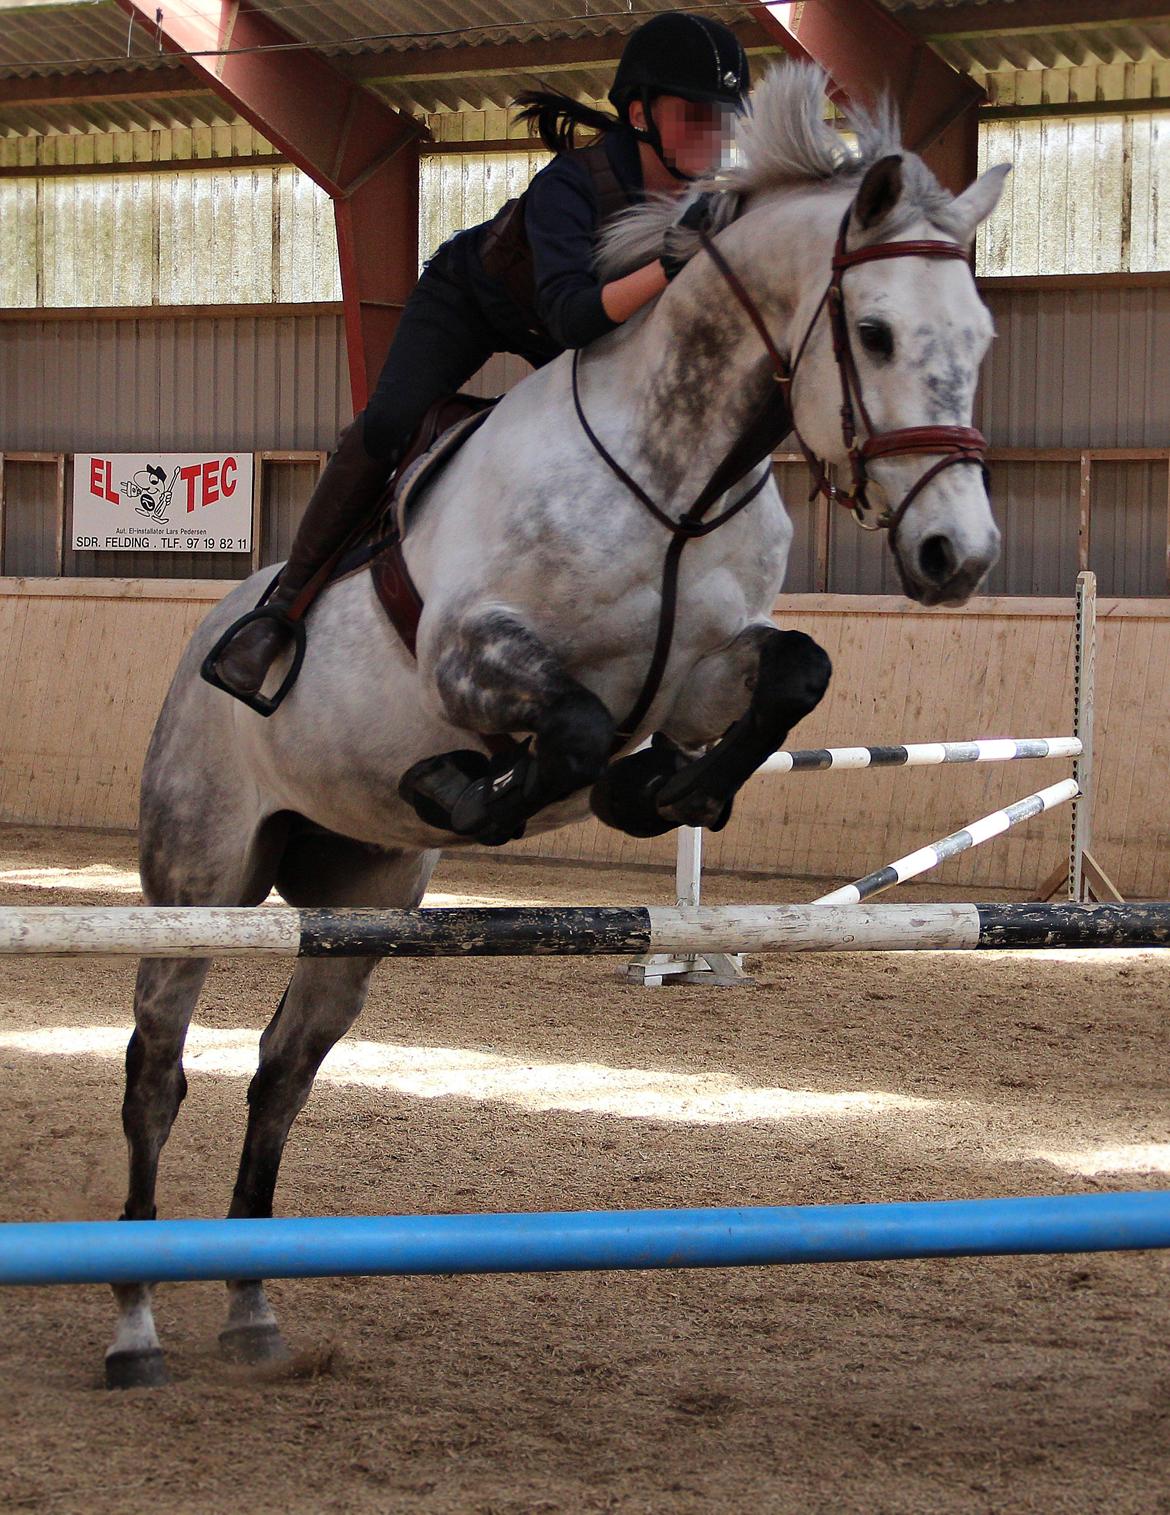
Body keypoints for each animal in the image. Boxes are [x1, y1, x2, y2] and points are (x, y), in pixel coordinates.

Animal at [105, 73, 1012, 1393]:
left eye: (980, 340)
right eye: (880, 333)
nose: (959, 557)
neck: (676, 481)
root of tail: (199, 644)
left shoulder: (703, 675)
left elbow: (793, 672)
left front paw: (664, 794)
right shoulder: (471, 656)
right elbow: (575, 729)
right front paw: (478, 785)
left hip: (361, 900)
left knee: (280, 1073)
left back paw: (251, 1305)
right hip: (200, 870)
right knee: (157, 1068)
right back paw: (133, 1319)